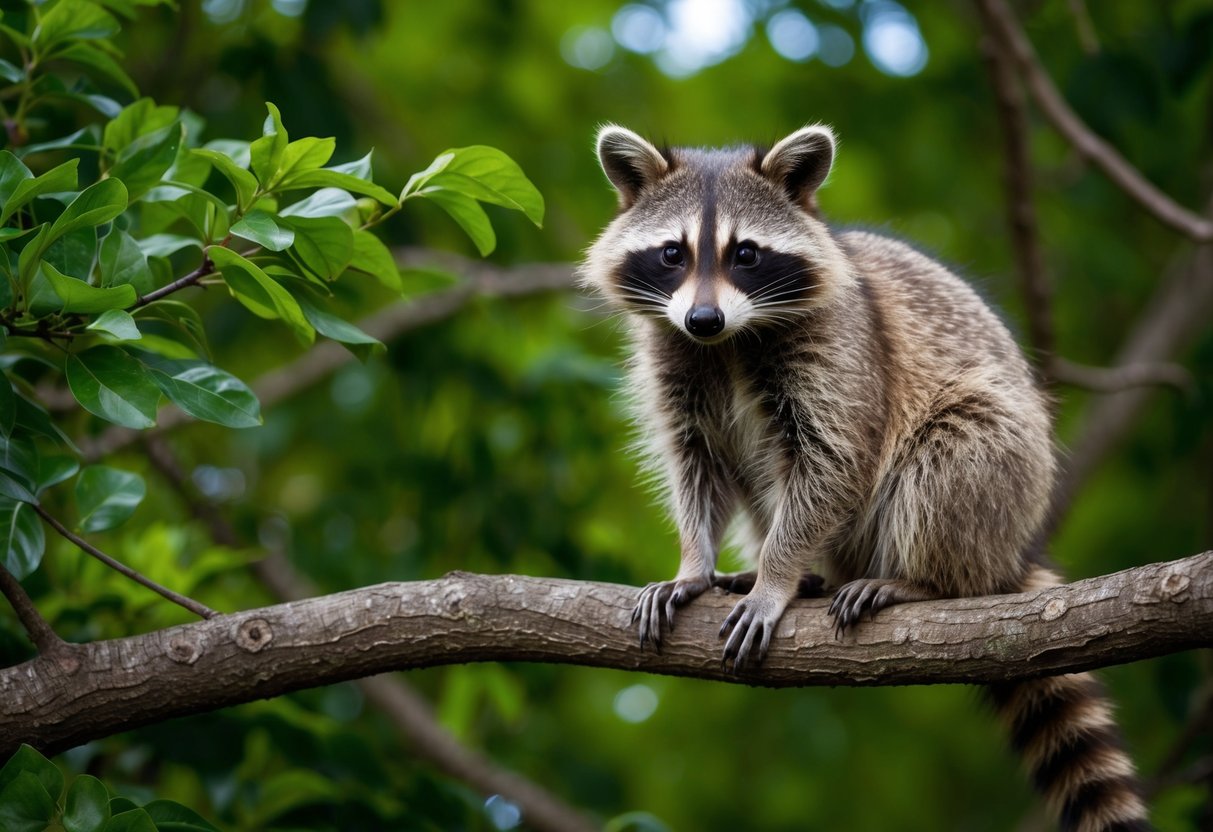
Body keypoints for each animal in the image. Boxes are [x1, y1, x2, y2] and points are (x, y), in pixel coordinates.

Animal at [581, 124, 1150, 832]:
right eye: (671, 253)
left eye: (746, 254)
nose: (703, 319)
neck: (729, 341)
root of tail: (1011, 550)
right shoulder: (675, 360)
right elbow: (695, 467)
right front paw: (695, 563)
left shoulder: (843, 351)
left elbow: (834, 465)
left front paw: (776, 577)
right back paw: (811, 576)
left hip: (1001, 471)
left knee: (953, 455)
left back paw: (922, 581)